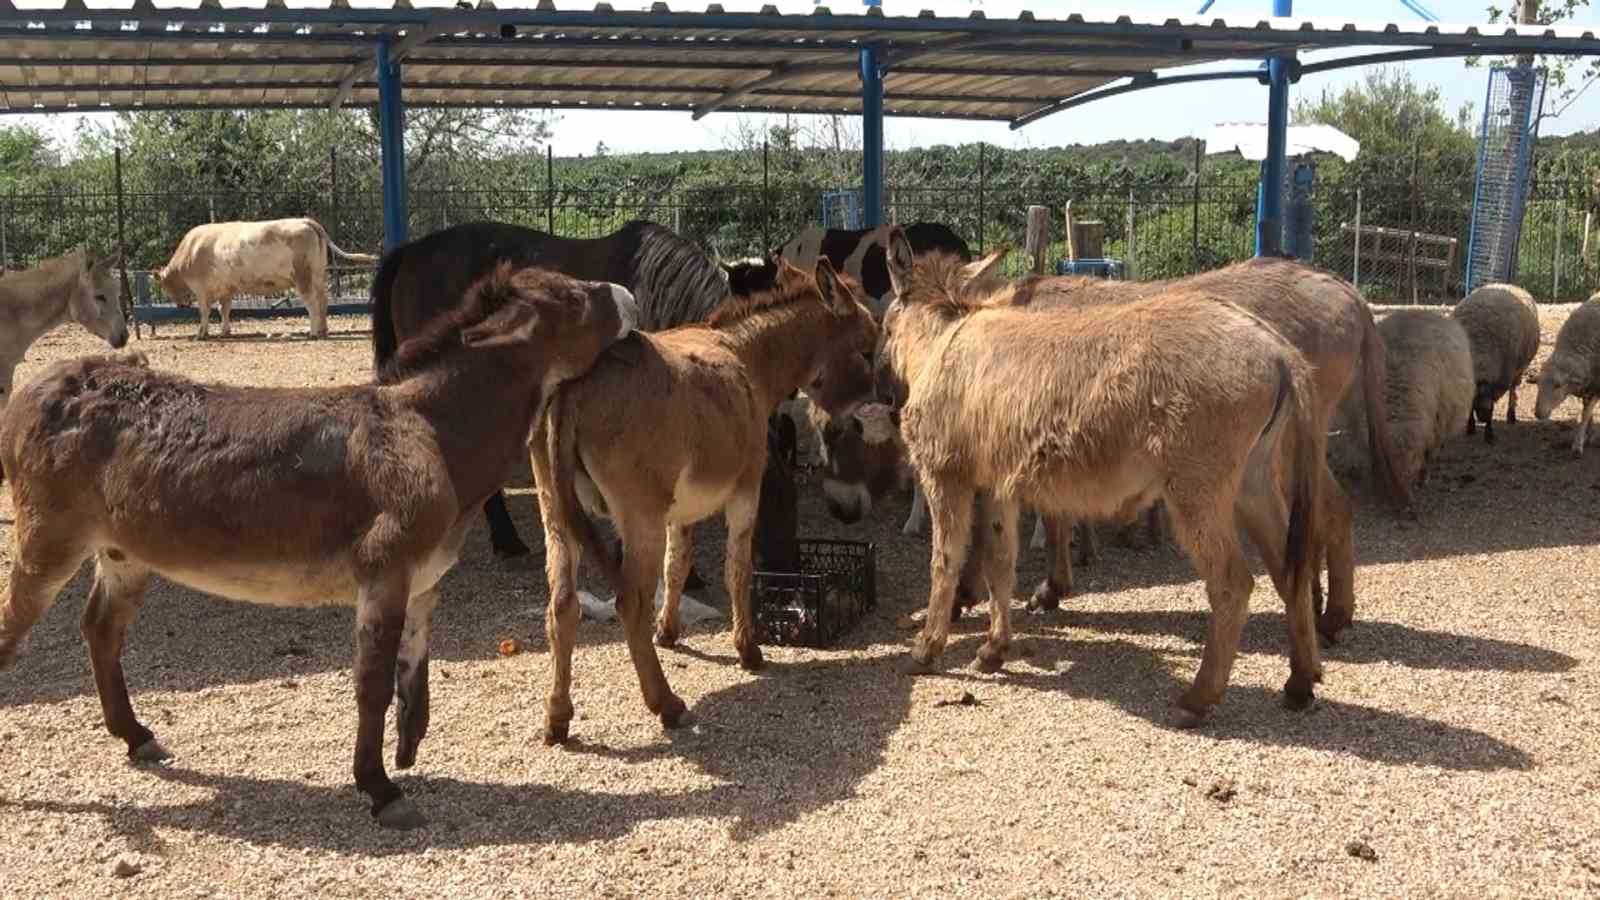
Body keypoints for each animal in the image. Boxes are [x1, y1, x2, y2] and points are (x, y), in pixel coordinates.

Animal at [157, 217, 379, 339]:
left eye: (165, 286)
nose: (181, 304)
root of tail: (305, 220)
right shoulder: (227, 289)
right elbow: (224, 309)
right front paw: (225, 331)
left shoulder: (201, 289)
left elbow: (204, 311)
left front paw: (201, 334)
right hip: (318, 274)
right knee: (323, 301)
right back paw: (323, 330)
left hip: (303, 277)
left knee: (312, 303)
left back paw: (313, 332)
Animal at [1324, 307, 1472, 506]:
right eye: (1386, 461)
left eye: (1412, 457)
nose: (1405, 499)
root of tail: (1418, 310)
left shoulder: (1437, 422)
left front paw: (1423, 478)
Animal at [1452, 280, 1536, 441]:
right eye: (1475, 396)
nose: (1482, 417)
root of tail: (1507, 284)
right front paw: (1470, 427)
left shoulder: (1500, 382)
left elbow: (1493, 407)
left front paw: (1489, 433)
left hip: (1518, 370)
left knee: (1513, 390)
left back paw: (1511, 415)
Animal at [1523, 296, 1600, 454]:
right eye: (1538, 384)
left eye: (1558, 385)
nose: (1538, 413)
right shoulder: (1588, 386)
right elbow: (1588, 413)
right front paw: (1589, 435)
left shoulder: (1596, 384)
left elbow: (1586, 413)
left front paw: (1578, 444)